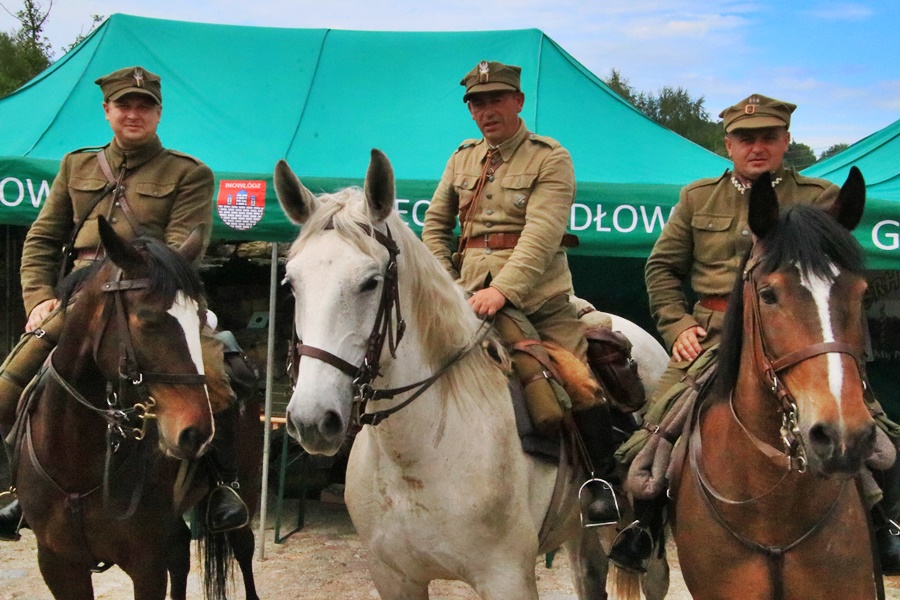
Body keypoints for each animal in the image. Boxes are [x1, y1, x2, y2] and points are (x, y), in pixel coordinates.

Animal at [273, 148, 670, 599]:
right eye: (291, 283)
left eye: (371, 282)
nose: (312, 420)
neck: (417, 454)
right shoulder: (394, 577)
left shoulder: (506, 578)